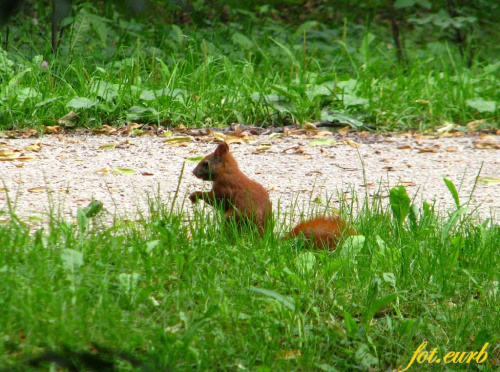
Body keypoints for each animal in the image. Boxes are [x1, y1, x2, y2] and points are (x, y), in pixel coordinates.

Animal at [189, 144, 354, 248]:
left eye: (205, 163)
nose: (193, 172)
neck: (227, 170)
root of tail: (263, 237)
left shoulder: (224, 187)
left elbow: (216, 200)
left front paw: (195, 195)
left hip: (233, 217)